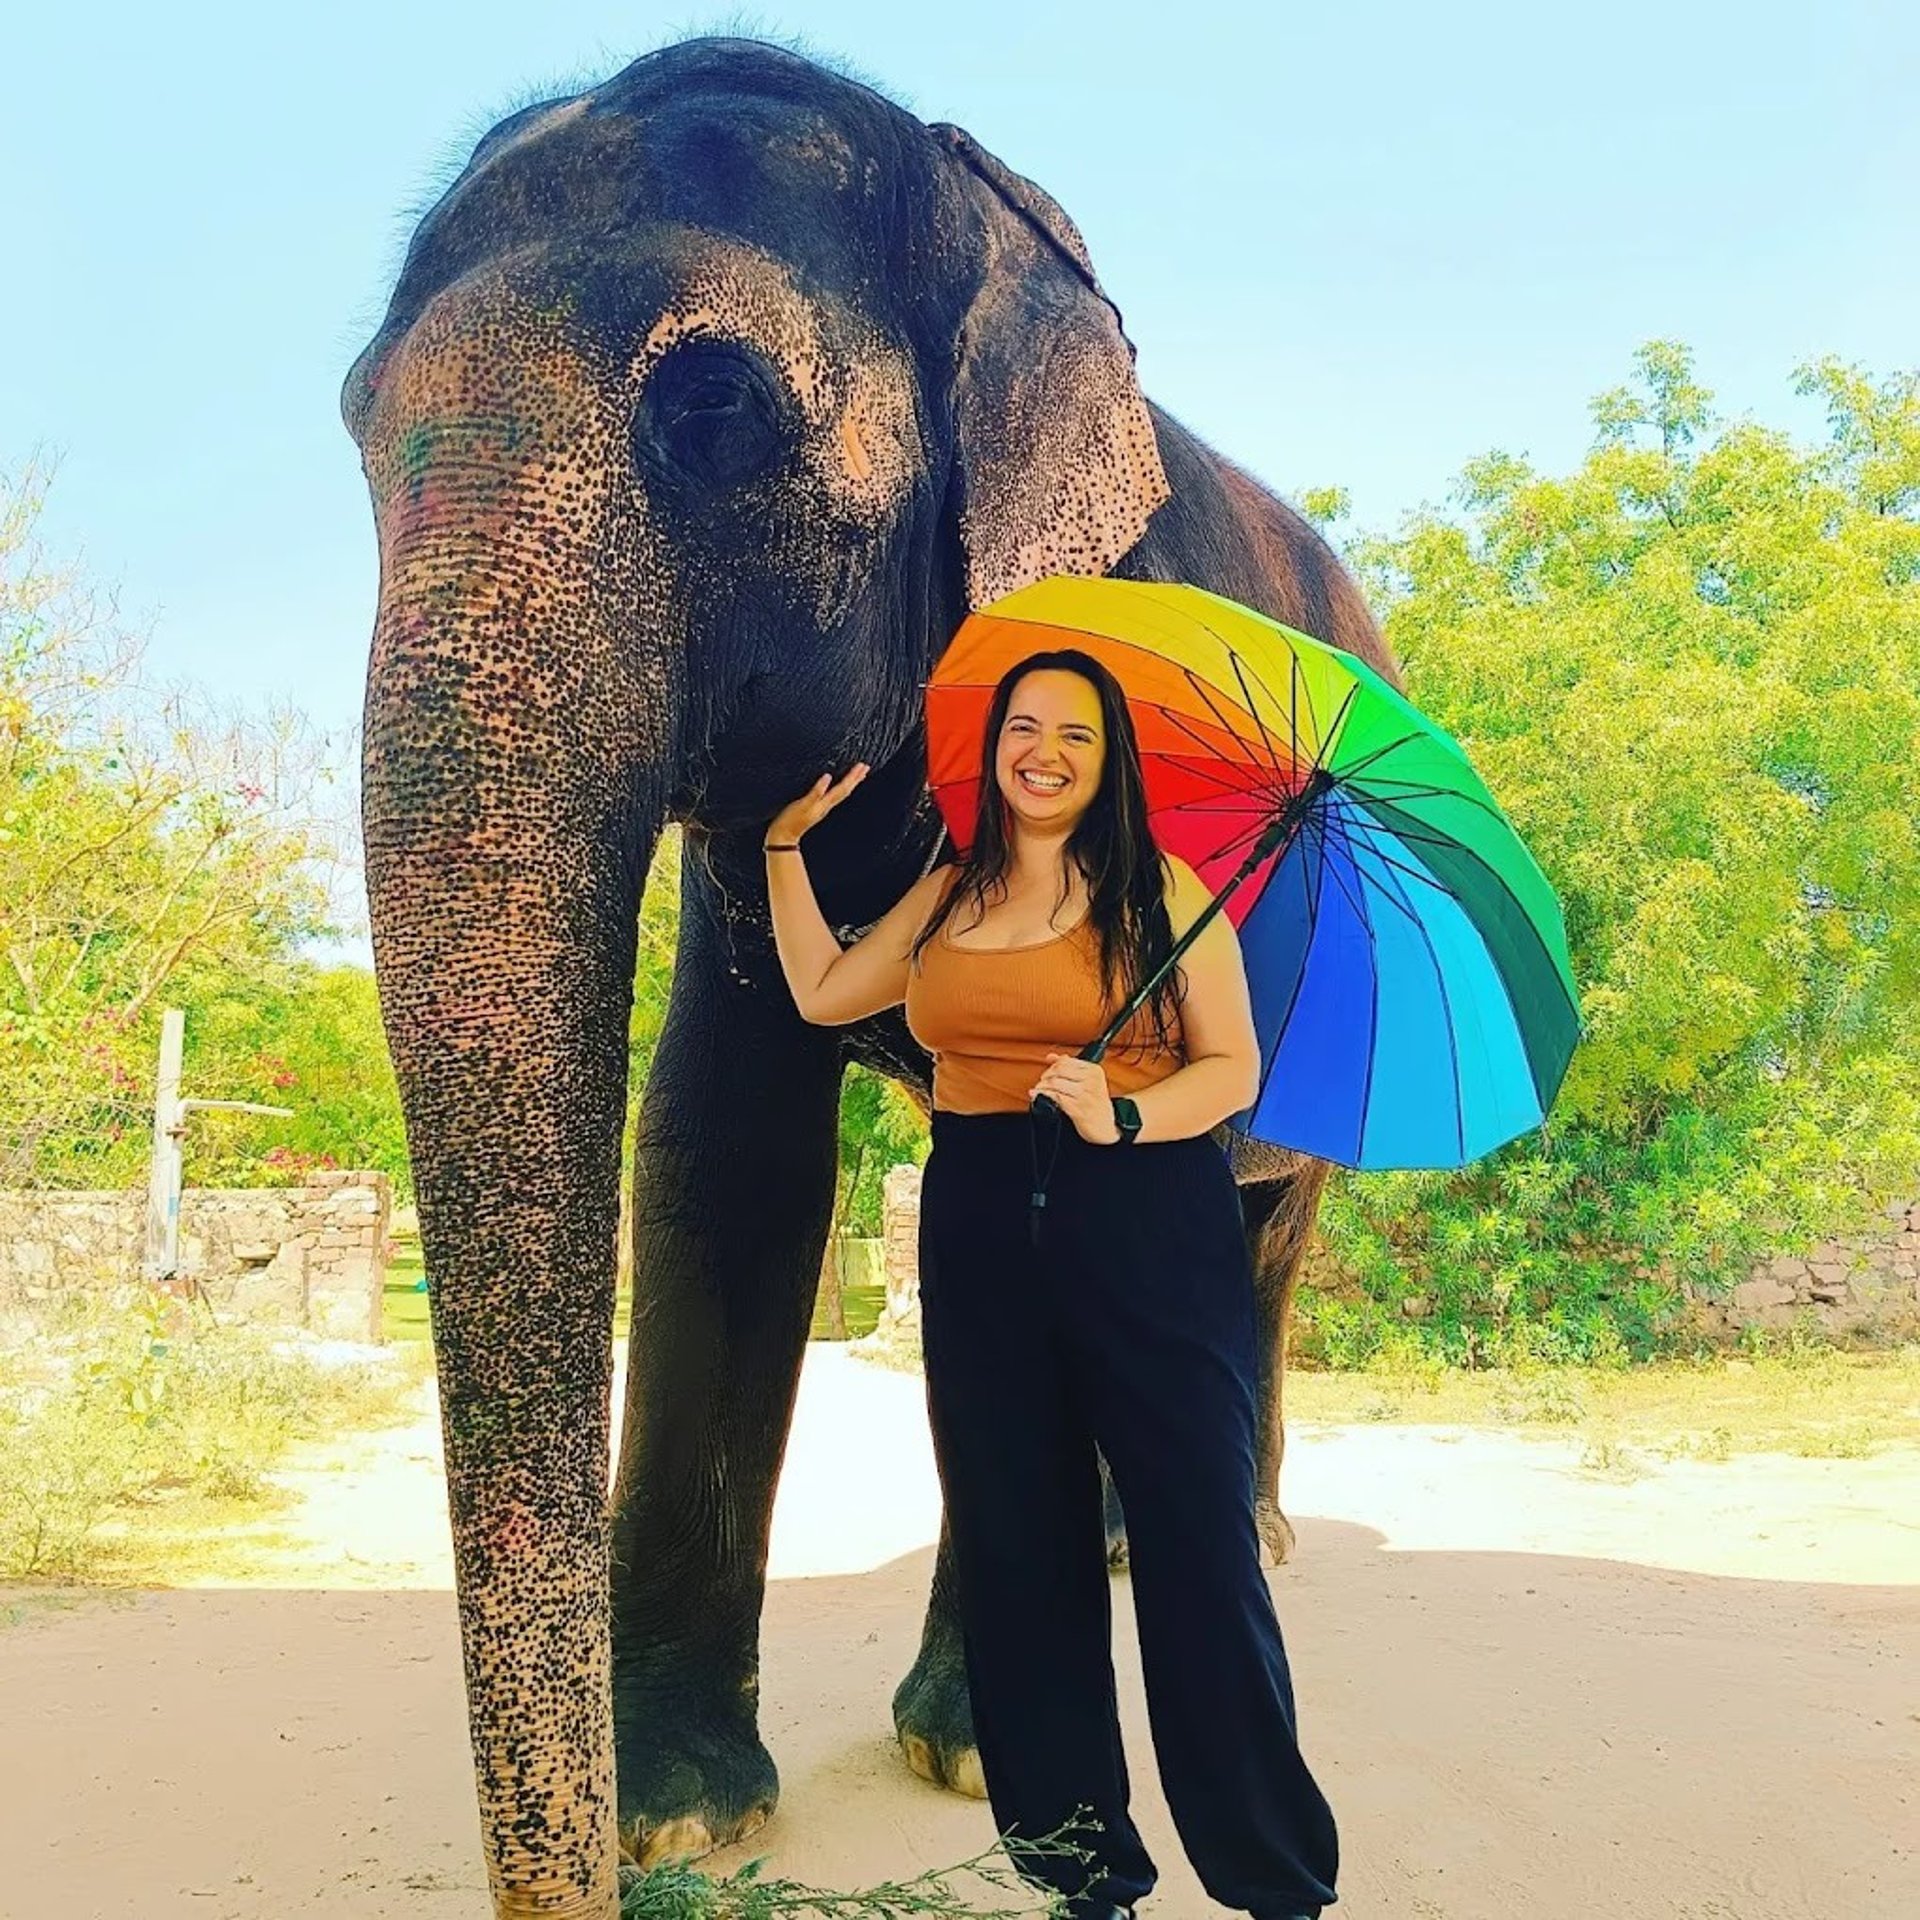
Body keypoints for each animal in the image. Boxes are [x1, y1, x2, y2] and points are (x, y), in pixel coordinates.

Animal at [341, 33, 1397, 1920]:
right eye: (350, 424)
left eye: (716, 412)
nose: (595, 1874)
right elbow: (722, 1154)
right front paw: (681, 1811)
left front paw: (985, 1773)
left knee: (1263, 1240)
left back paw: (1245, 1547)